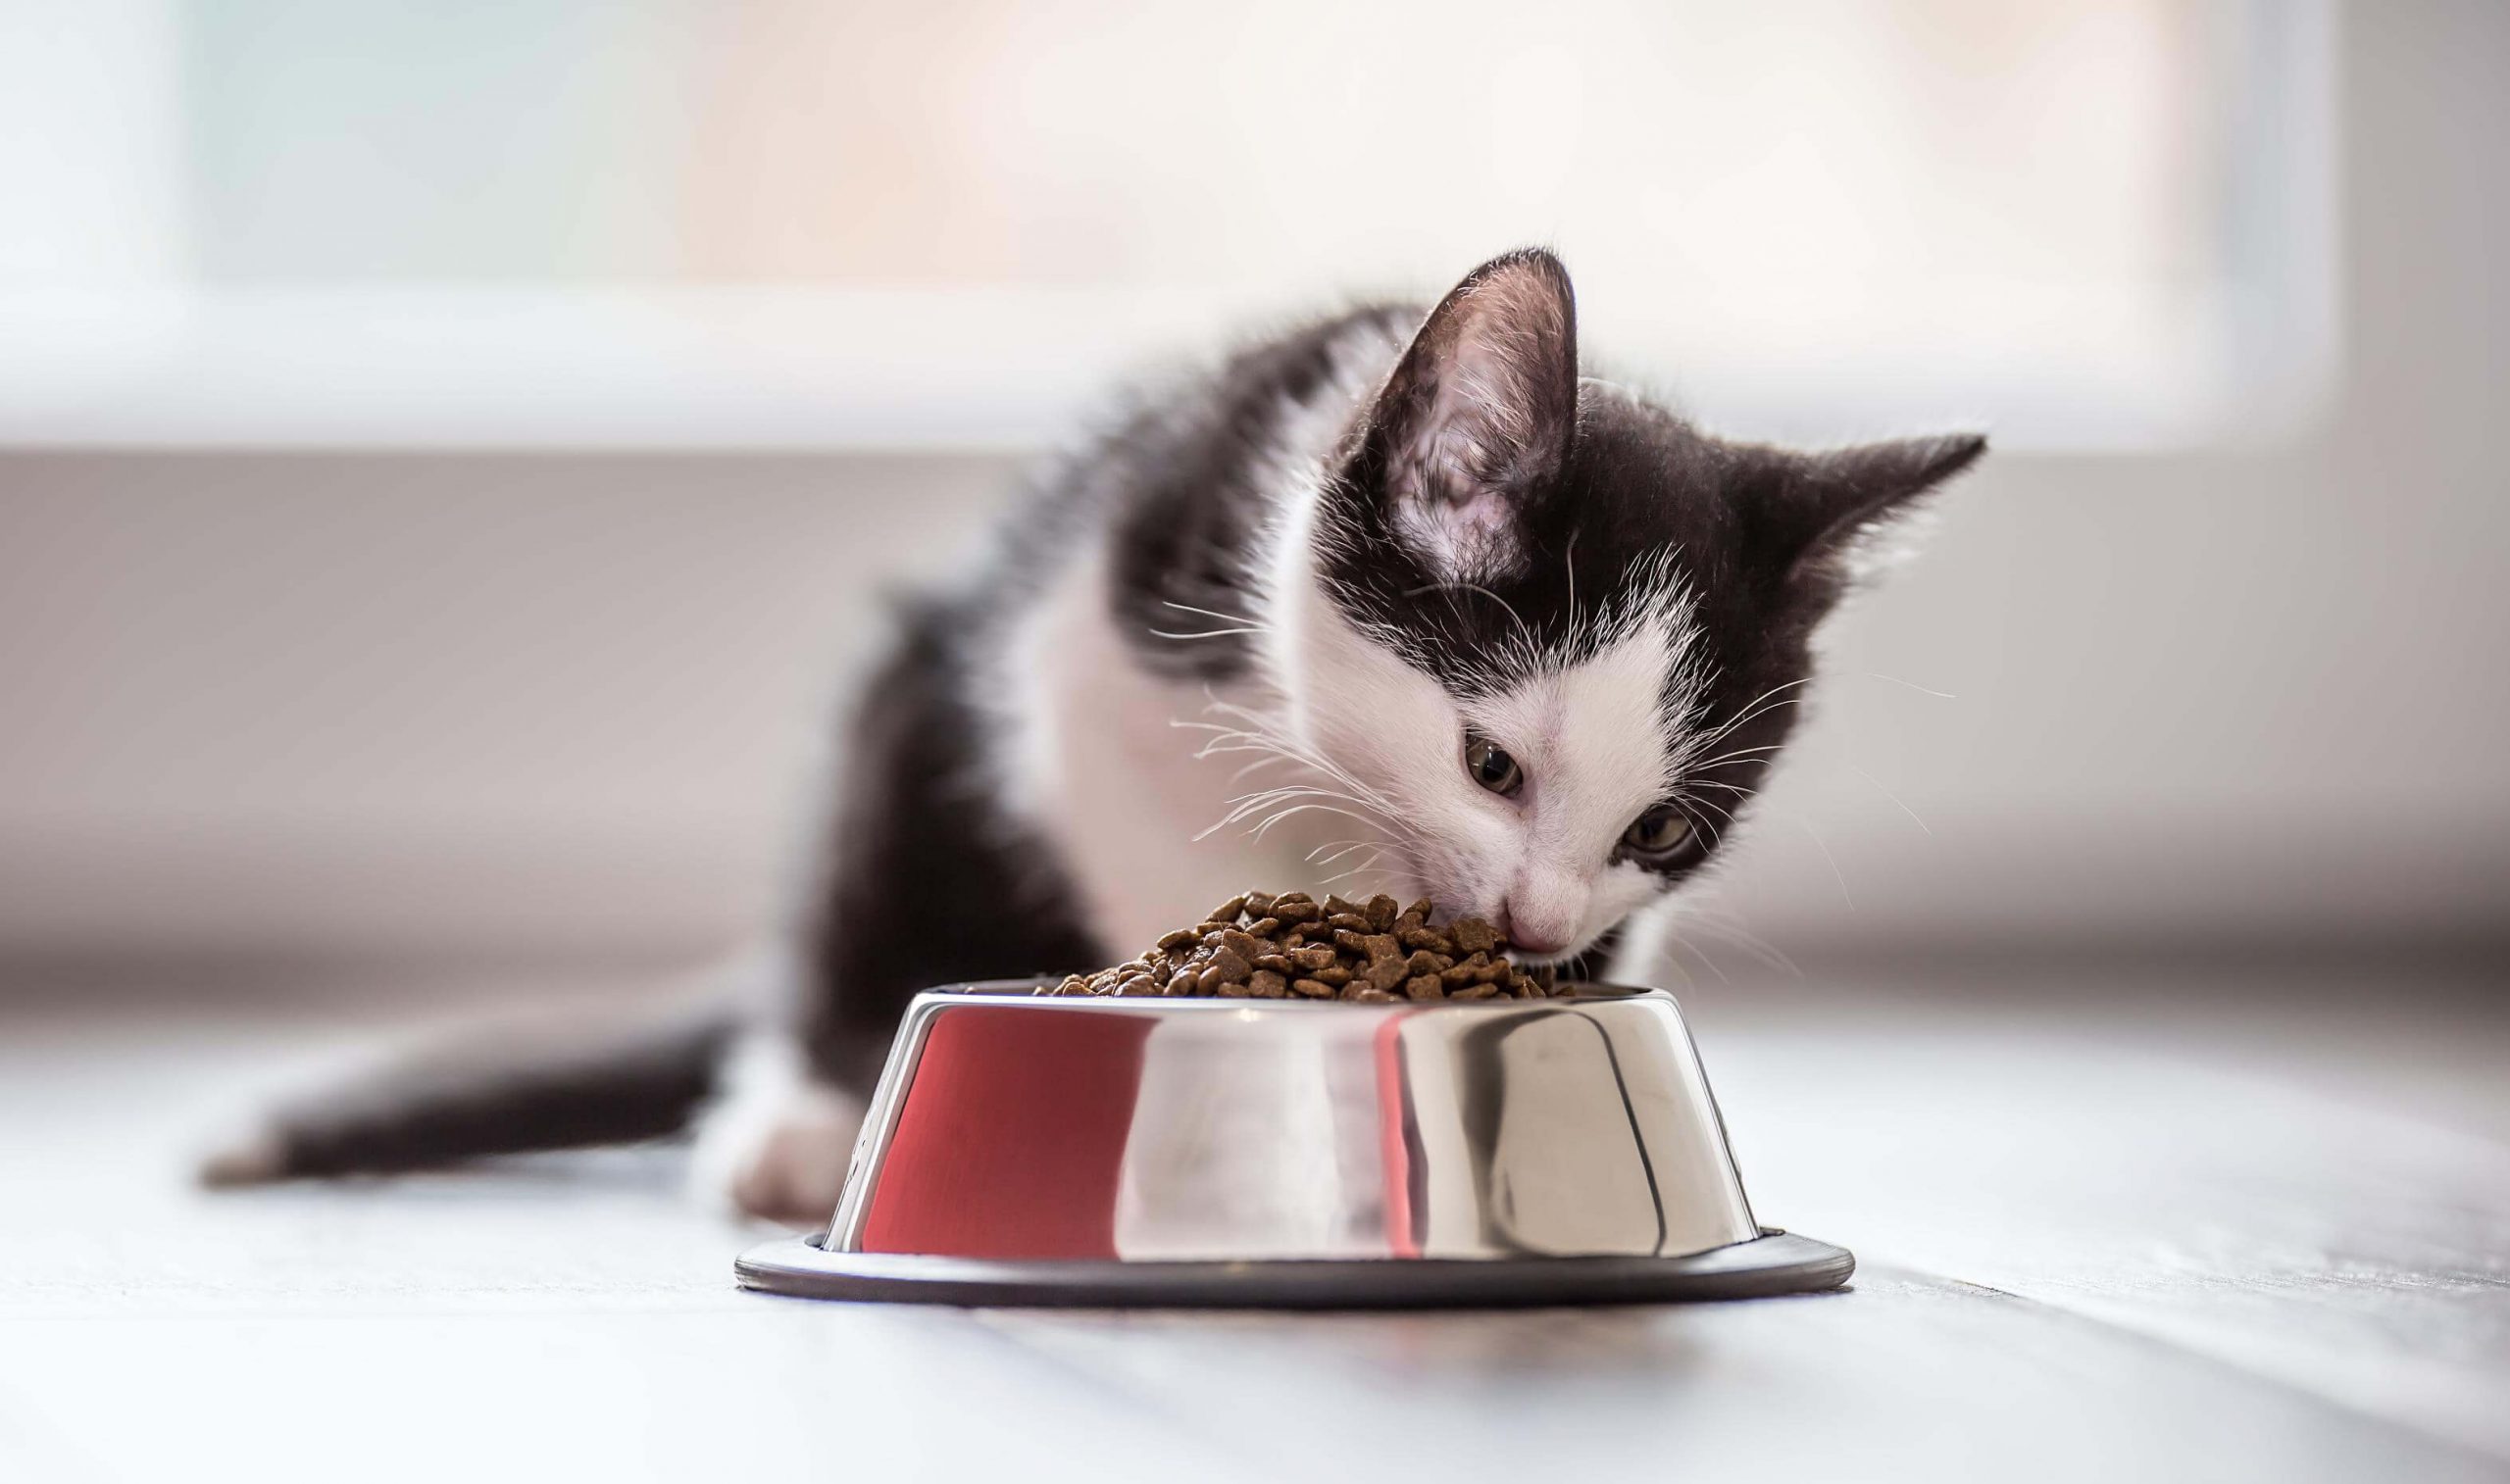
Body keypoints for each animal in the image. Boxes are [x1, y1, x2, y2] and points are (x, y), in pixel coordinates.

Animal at [205, 252, 1987, 1220]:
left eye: (1664, 829)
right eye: (1490, 762)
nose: (1541, 925)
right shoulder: (1085, 650)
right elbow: (1150, 849)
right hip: (910, 708)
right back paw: (799, 1120)